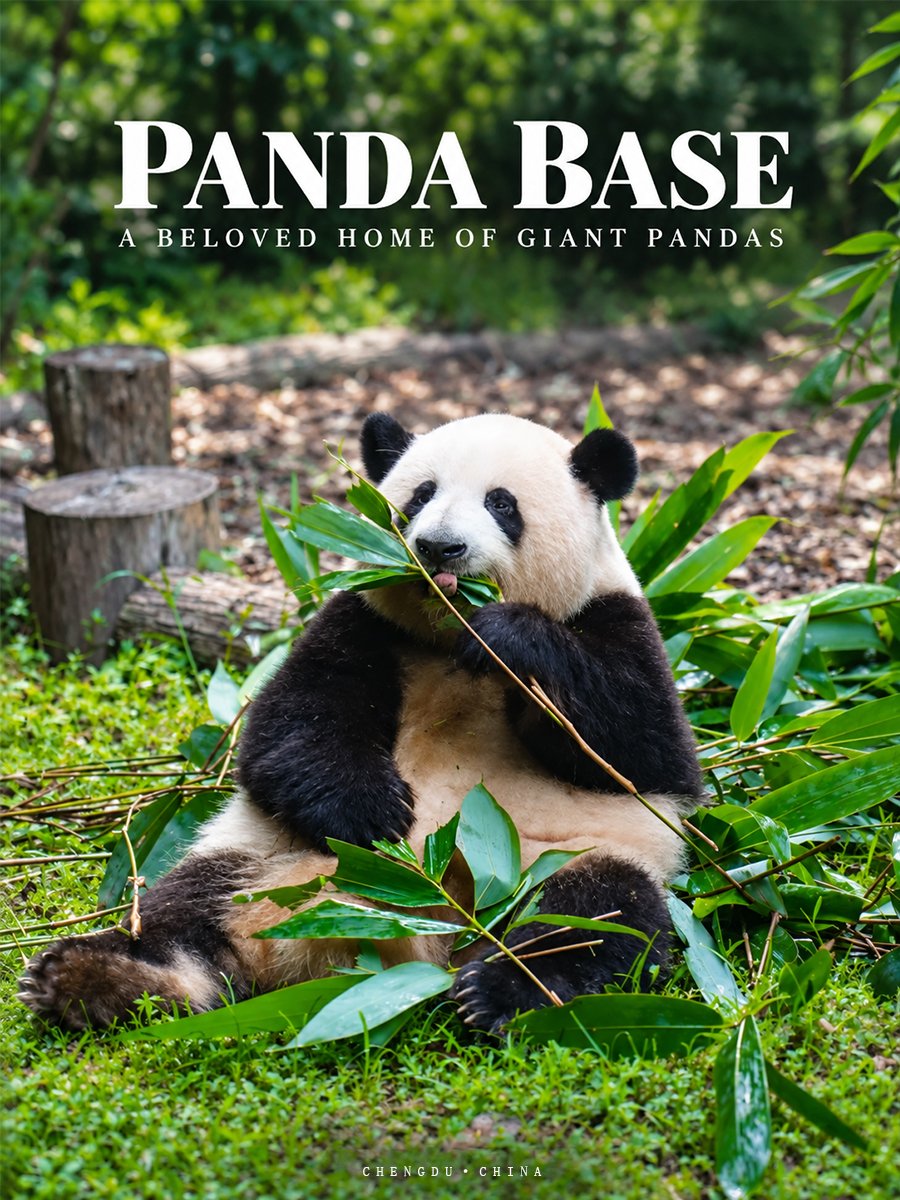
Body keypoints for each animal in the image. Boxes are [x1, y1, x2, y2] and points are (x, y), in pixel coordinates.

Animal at [20, 412, 704, 1034]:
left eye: (501, 503)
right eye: (420, 495)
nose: (439, 547)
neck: (448, 635)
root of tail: (419, 935)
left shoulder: (618, 620)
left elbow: (642, 751)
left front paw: (510, 638)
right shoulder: (365, 620)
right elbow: (290, 728)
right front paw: (376, 814)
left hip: (561, 861)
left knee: (595, 916)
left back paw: (502, 992)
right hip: (256, 855)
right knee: (181, 911)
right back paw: (92, 978)